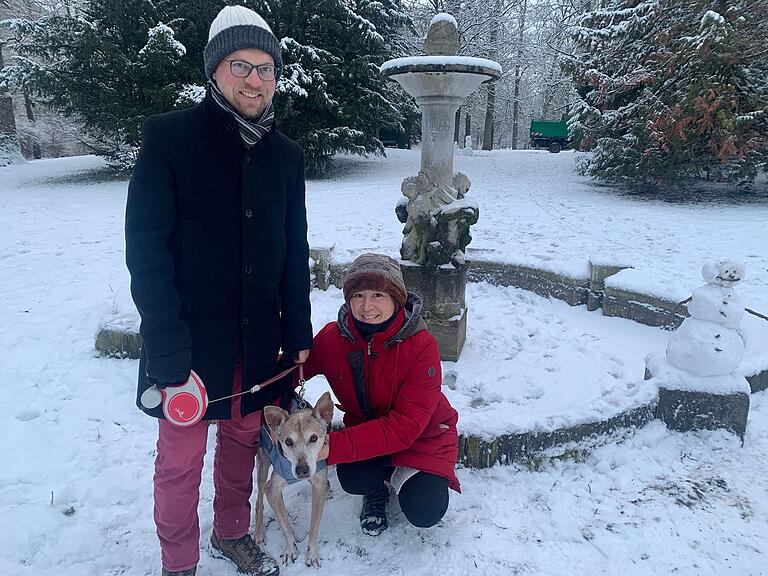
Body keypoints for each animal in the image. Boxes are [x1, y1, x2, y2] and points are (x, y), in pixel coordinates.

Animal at [255, 392, 332, 568]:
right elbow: (285, 526)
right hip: (263, 463)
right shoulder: (273, 489)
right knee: (259, 500)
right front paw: (290, 550)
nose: (302, 470)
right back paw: (259, 532)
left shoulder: (319, 484)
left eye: (314, 438)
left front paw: (312, 554)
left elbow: (314, 527)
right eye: (288, 441)